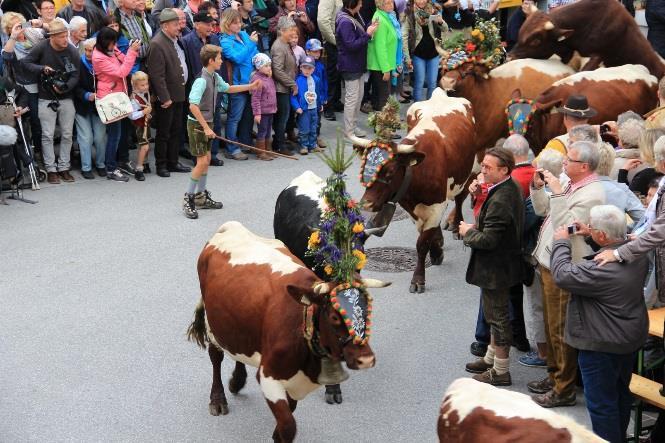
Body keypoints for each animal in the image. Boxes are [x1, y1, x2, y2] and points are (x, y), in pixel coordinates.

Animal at [185, 224, 390, 442]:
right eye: (335, 317)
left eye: (368, 310)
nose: (366, 359)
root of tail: (231, 225)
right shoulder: (268, 376)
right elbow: (288, 426)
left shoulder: (294, 384)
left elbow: (286, 420)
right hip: (212, 324)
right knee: (216, 356)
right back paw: (218, 399)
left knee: (238, 350)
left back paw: (237, 381)